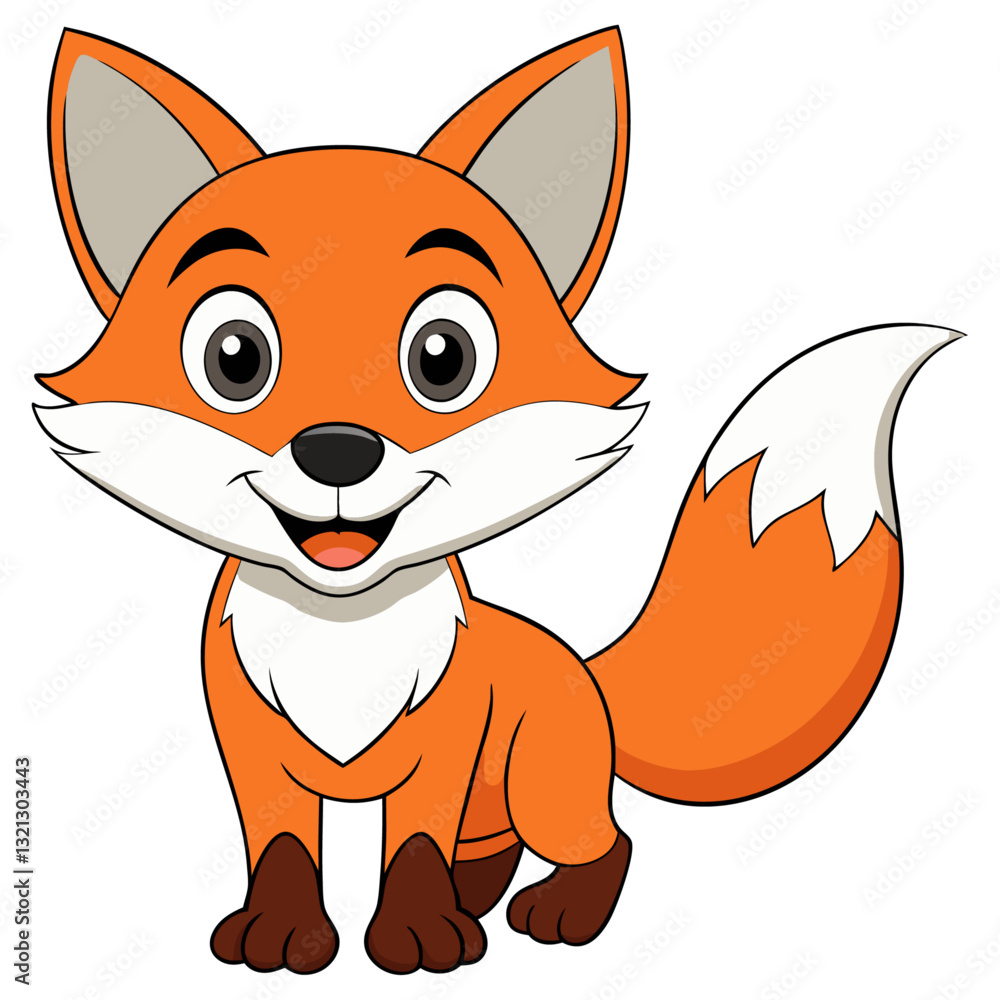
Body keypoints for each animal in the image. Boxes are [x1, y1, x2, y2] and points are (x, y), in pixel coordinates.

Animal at [35, 26, 960, 976]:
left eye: (443, 357)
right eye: (234, 357)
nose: (338, 448)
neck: (343, 639)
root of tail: (582, 666)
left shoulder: (446, 742)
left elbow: (413, 844)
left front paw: (414, 935)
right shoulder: (254, 750)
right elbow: (283, 847)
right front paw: (284, 934)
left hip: (540, 782)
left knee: (606, 841)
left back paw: (556, 914)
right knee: (494, 848)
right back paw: (478, 901)